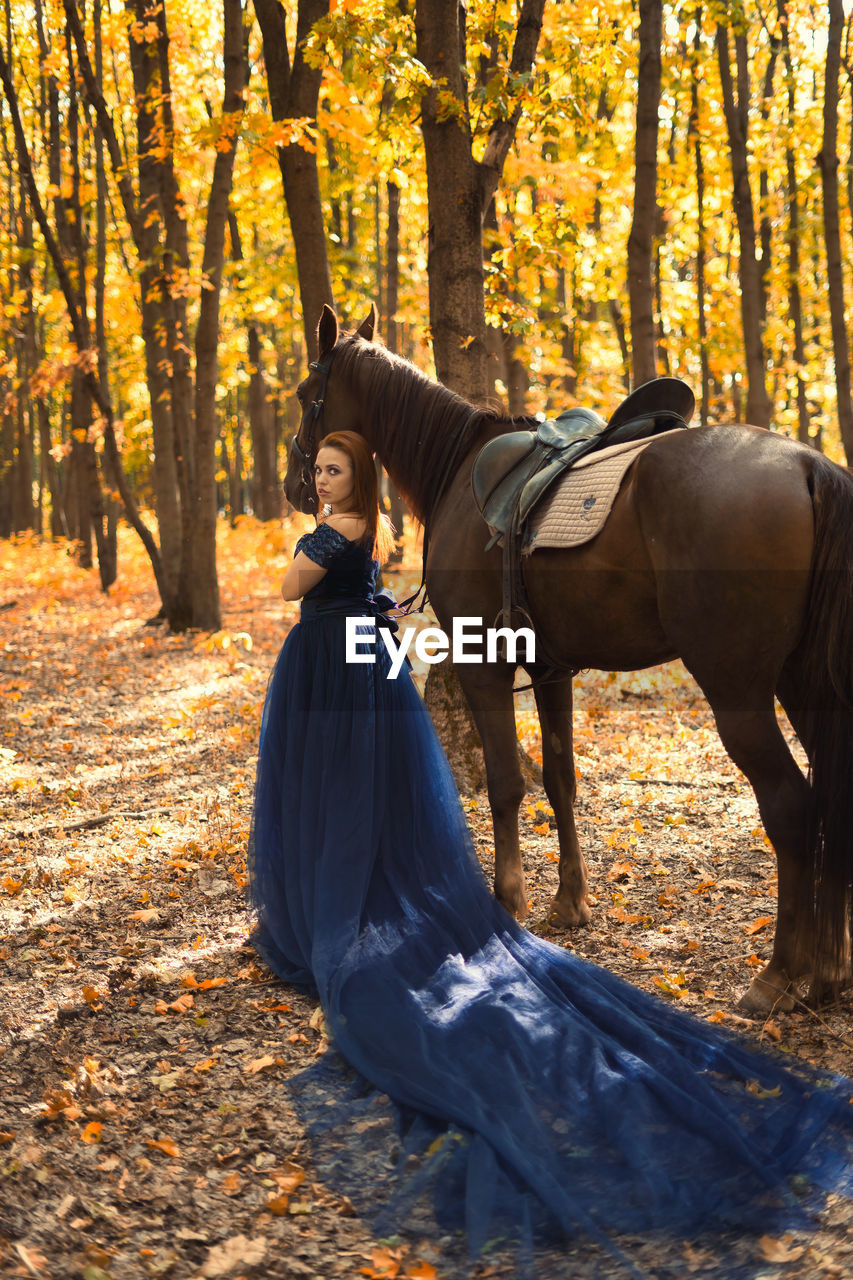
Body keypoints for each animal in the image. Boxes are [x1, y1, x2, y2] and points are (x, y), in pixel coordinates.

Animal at [284, 304, 850, 1013]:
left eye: (305, 394)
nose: (296, 485)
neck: (458, 472)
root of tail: (804, 465)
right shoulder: (550, 668)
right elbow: (560, 780)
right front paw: (570, 902)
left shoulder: (485, 663)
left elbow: (505, 782)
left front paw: (507, 902)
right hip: (806, 682)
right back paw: (829, 970)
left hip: (739, 691)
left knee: (791, 807)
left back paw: (777, 975)